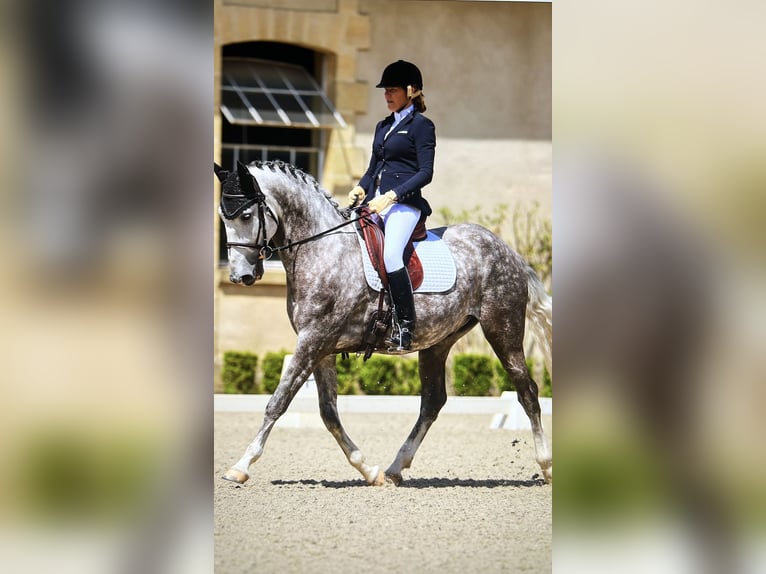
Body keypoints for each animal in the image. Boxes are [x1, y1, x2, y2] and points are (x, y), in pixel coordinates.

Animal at [214, 161, 552, 486]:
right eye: (223, 216)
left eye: (246, 215)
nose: (240, 276)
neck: (322, 248)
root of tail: (509, 252)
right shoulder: (320, 347)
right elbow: (328, 413)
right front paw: (368, 470)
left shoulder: (313, 339)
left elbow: (278, 401)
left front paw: (240, 467)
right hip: (438, 342)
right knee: (433, 402)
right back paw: (394, 468)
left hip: (502, 330)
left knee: (527, 391)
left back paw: (546, 466)